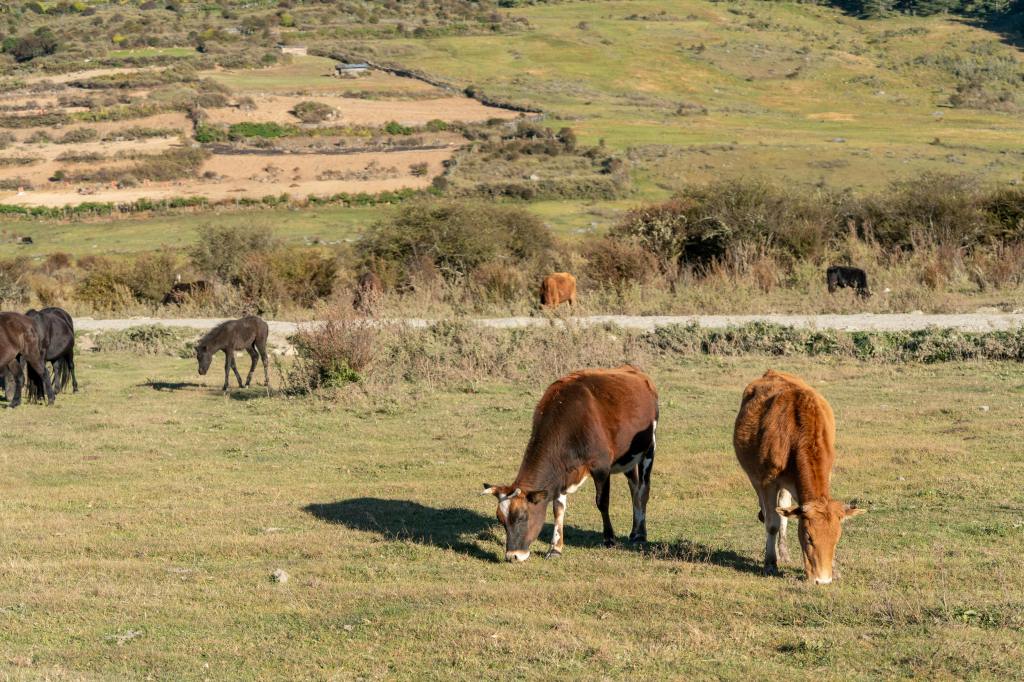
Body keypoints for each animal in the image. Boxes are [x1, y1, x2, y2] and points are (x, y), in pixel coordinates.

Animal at [483, 365, 659, 562]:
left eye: (522, 517)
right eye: (501, 520)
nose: (512, 556)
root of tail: (635, 370)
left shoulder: (601, 467)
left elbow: (602, 502)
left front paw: (609, 539)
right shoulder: (561, 473)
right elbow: (558, 509)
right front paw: (555, 548)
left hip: (649, 448)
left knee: (643, 489)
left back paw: (640, 535)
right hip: (627, 458)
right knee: (634, 487)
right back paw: (635, 531)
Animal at [733, 370, 865, 584]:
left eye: (836, 539)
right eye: (809, 537)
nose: (822, 580)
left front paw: (835, 569)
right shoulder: (767, 481)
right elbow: (772, 523)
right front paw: (770, 564)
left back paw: (784, 553)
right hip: (755, 477)